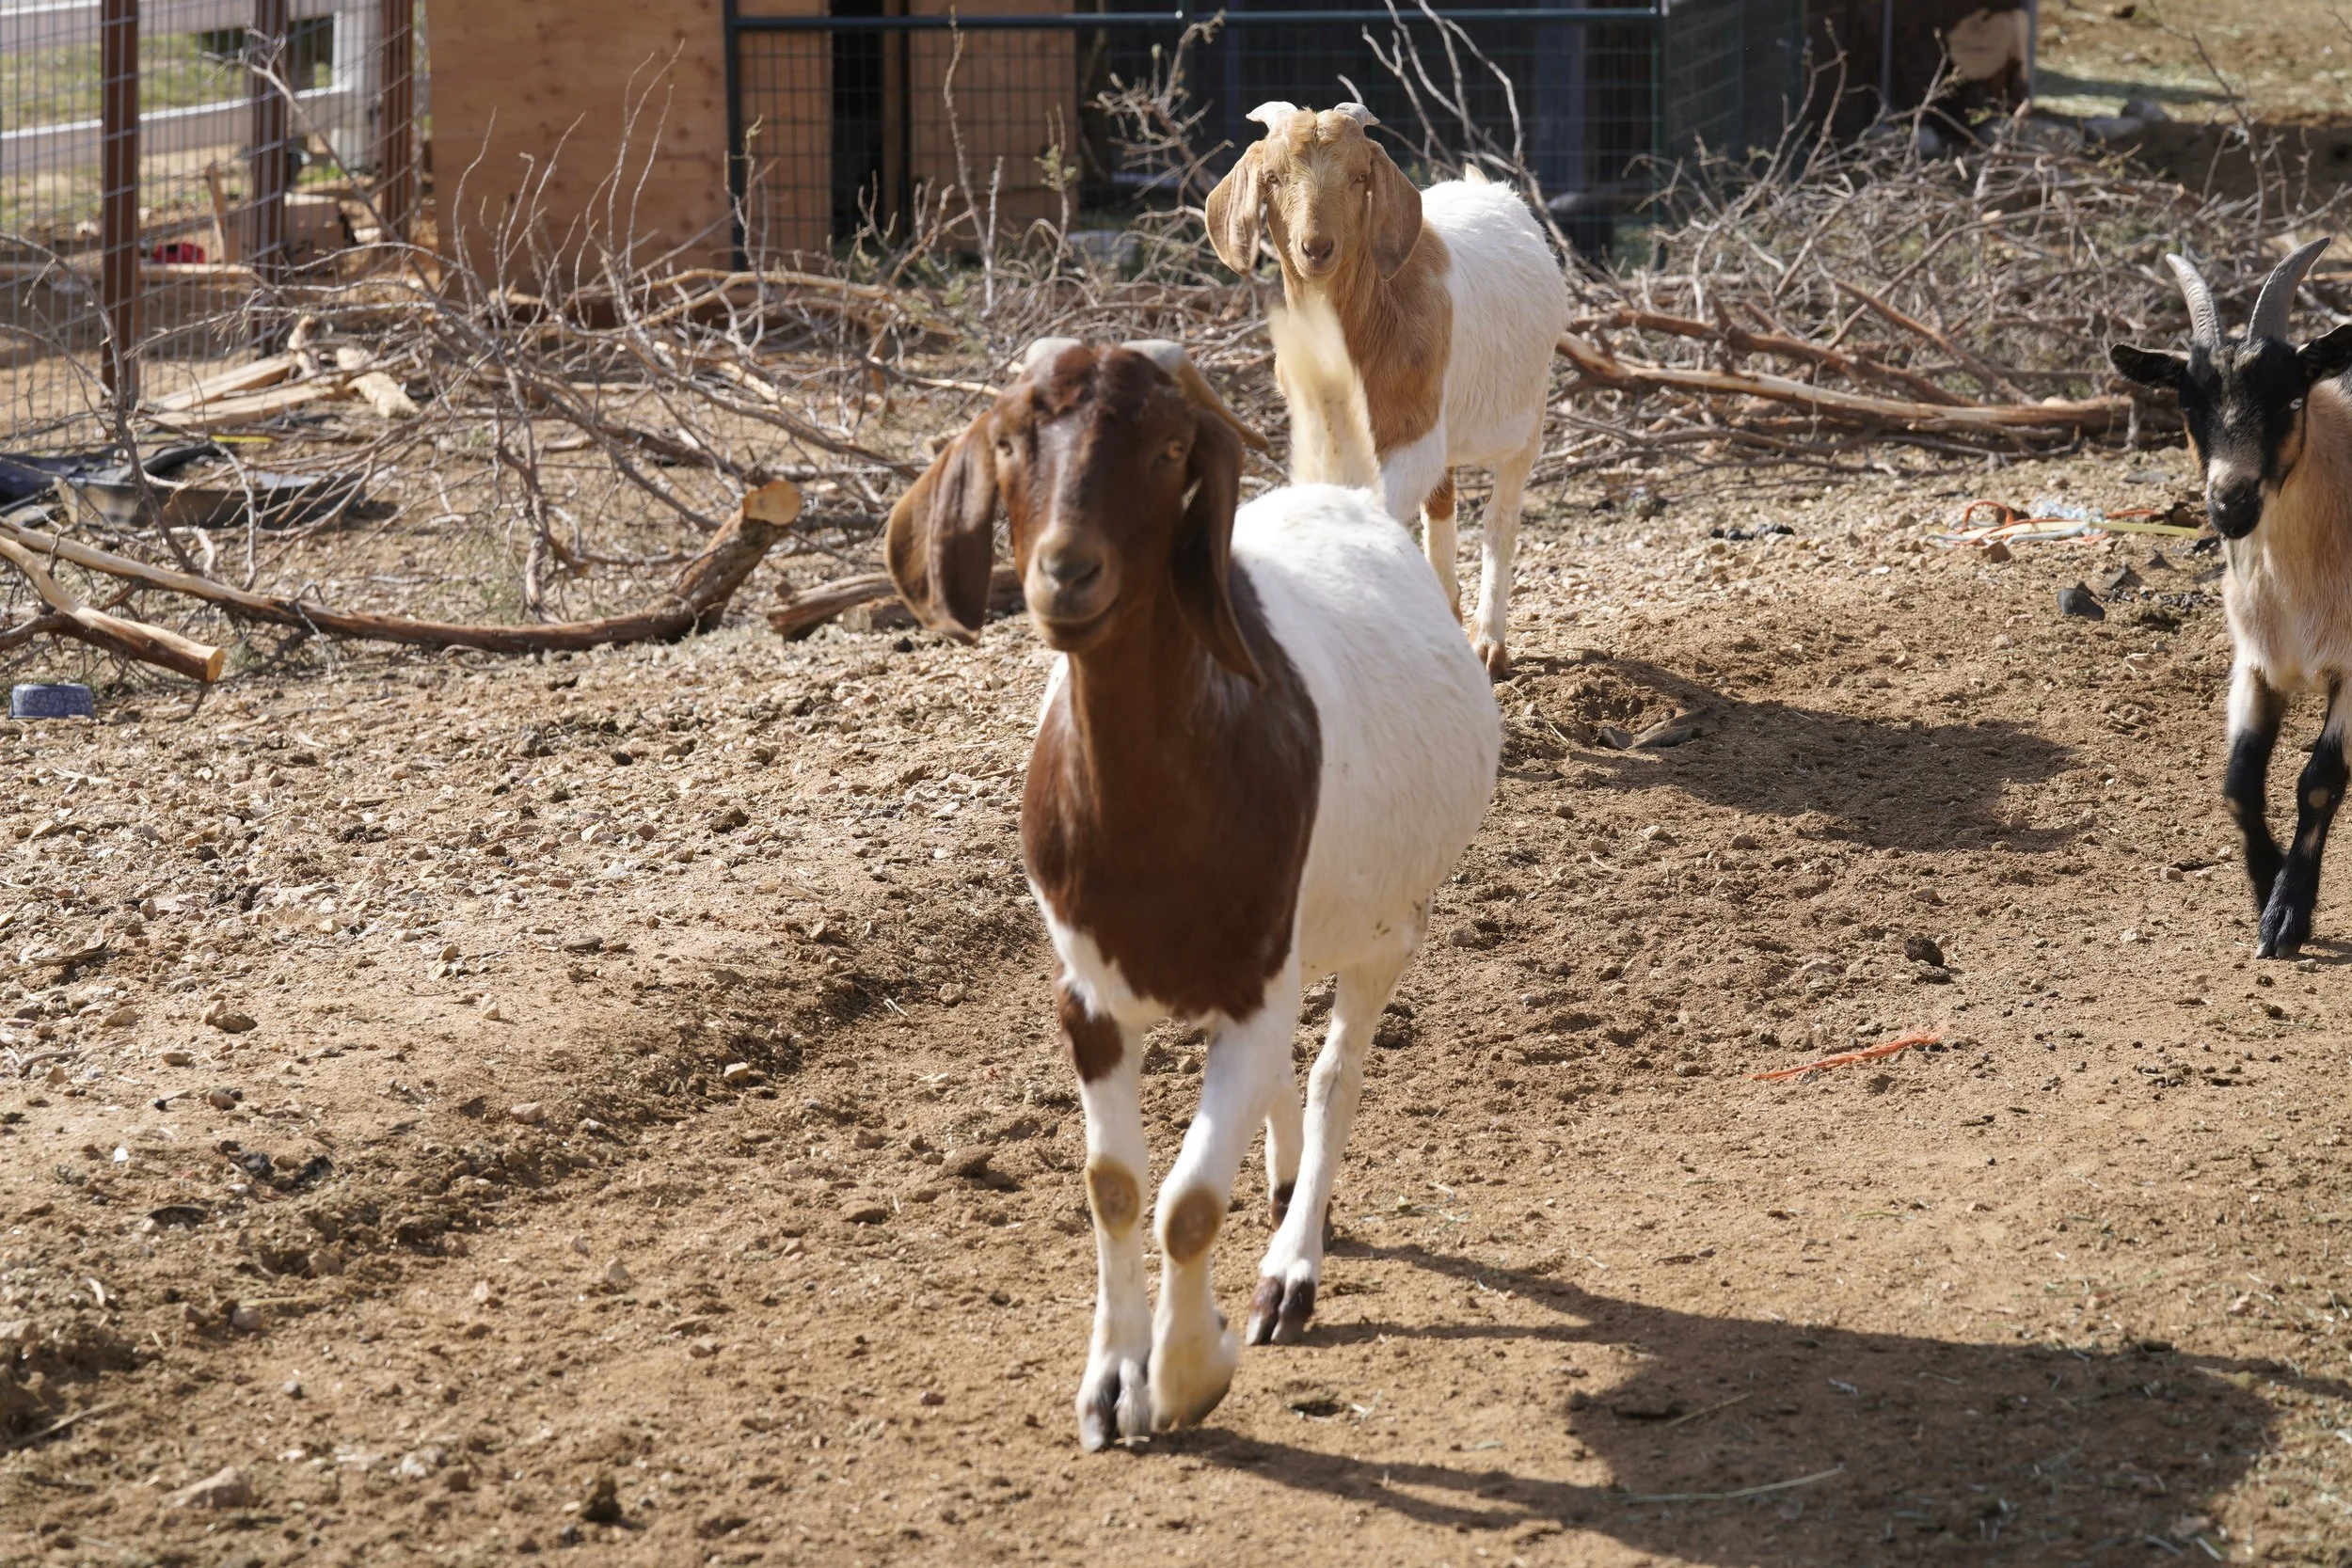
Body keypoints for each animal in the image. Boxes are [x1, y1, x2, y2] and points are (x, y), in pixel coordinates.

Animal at [886, 338, 1500, 1448]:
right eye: (1011, 438)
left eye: (1172, 447)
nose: (1066, 571)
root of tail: (1345, 499)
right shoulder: (1087, 997)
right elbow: (1116, 1186)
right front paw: (1107, 1382)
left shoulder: (1254, 983)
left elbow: (1188, 1202)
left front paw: (1184, 1375)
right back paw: (1291, 1189)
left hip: (1387, 927)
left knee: (1335, 1069)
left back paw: (1292, 1267)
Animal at [1205, 102, 1570, 678]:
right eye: (1272, 178)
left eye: (1360, 177)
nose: (1316, 248)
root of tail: (1491, 190)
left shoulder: (1416, 432)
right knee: (1441, 505)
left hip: (1527, 416)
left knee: (1501, 516)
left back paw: (1489, 644)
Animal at [2111, 238, 2352, 956]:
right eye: (2188, 406)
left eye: (2291, 399)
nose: (2231, 501)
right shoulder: (2254, 663)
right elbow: (2239, 786)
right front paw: (2265, 888)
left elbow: (2318, 782)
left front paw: (2287, 916)